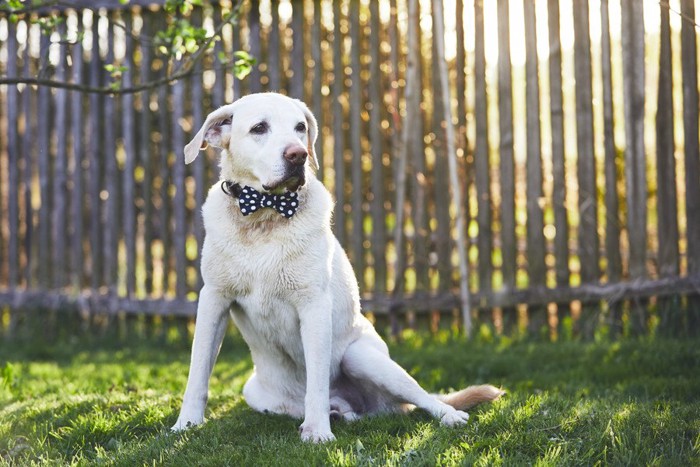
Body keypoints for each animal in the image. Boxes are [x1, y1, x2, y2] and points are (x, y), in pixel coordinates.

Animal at [174, 91, 504, 442]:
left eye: (300, 127)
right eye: (259, 128)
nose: (298, 155)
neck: (264, 215)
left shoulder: (314, 305)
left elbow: (317, 381)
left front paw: (318, 431)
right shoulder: (214, 300)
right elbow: (198, 371)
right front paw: (186, 424)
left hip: (361, 357)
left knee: (422, 398)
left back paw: (448, 415)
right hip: (256, 393)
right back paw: (339, 413)